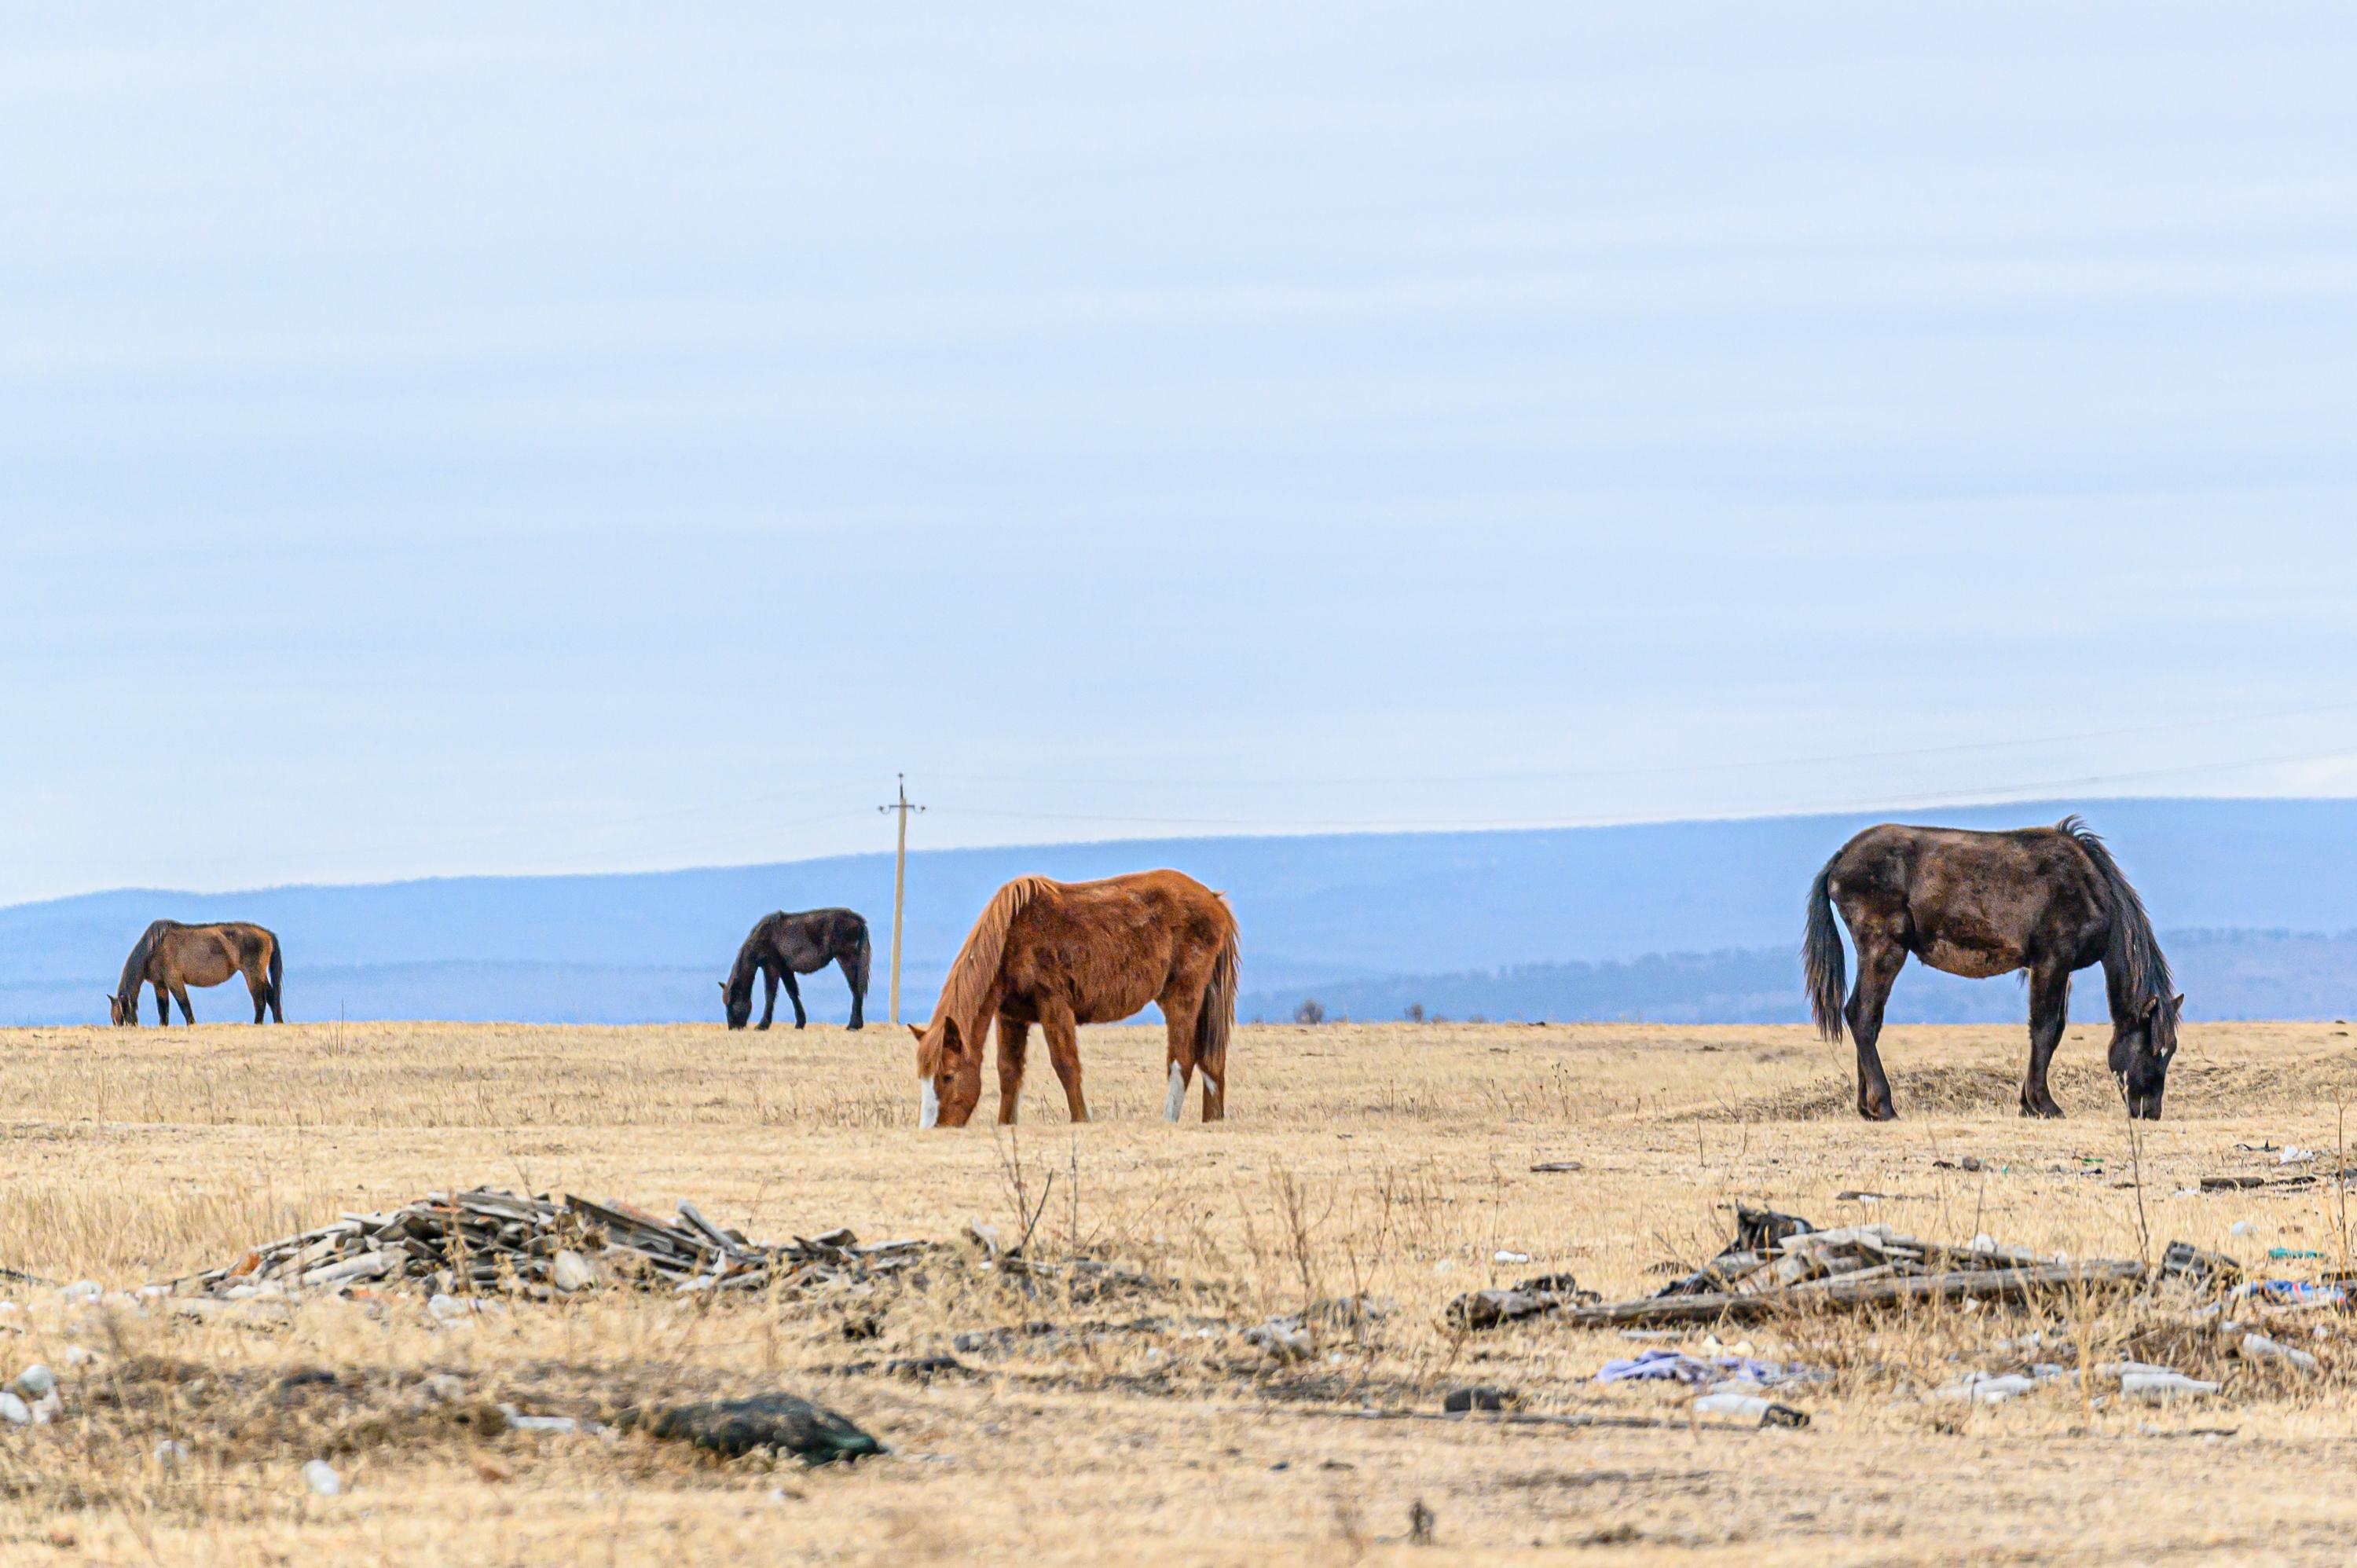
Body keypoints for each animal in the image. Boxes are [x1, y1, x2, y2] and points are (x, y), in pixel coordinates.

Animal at [106, 919, 283, 1028]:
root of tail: (267, 933)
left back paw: (258, 1023)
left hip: (252, 974)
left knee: (259, 999)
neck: (153, 948)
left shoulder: (174, 981)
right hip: (260, 974)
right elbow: (163, 1009)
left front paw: (191, 1024)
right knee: (271, 995)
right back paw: (278, 1021)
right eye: (114, 1019)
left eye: (122, 1016)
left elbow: (184, 1004)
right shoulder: (160, 985)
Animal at [717, 905, 877, 1028]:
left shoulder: (771, 966)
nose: (733, 1027)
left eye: (731, 1003)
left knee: (856, 987)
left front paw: (763, 1025)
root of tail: (857, 919)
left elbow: (770, 994)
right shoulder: (785, 969)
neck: (763, 935)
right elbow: (792, 992)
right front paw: (800, 1023)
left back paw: (854, 1025)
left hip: (846, 958)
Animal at [905, 867, 1244, 1127]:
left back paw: (1168, 1120)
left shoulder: (1054, 1005)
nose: (932, 1129)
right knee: (1212, 1061)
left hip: (1182, 997)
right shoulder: (1010, 1016)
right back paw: (1212, 1121)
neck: (1011, 937)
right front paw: (1006, 1124)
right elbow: (1009, 1072)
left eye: (948, 1076)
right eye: (922, 1076)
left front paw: (1081, 1120)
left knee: (1183, 1059)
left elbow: (1066, 1064)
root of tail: (1214, 901)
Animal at [1801, 811, 2187, 1117]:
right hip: (1885, 950)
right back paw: (1884, 1106)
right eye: (2153, 1049)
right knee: (1862, 1015)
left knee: (1868, 1019)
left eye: (2170, 1051)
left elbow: (2052, 1032)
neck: (2089, 886)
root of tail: (1841, 858)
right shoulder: (2052, 962)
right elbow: (2045, 1029)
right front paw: (2044, 1104)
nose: (2150, 1112)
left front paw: (2028, 1103)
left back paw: (1866, 1107)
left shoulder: (2055, 970)